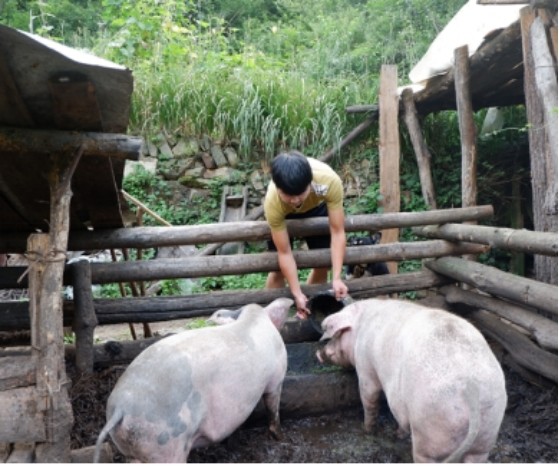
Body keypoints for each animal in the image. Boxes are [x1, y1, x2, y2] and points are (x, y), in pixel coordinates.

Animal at [93, 298, 294, 462]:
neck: (252, 318)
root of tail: (122, 407)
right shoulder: (276, 378)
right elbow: (273, 409)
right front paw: (281, 438)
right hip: (167, 442)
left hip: (132, 447)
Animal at [318, 298, 510, 462]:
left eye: (333, 336)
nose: (318, 354)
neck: (359, 328)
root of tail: (471, 387)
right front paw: (398, 434)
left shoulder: (366, 368)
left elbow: (370, 399)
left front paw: (367, 430)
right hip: (487, 433)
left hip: (430, 431)